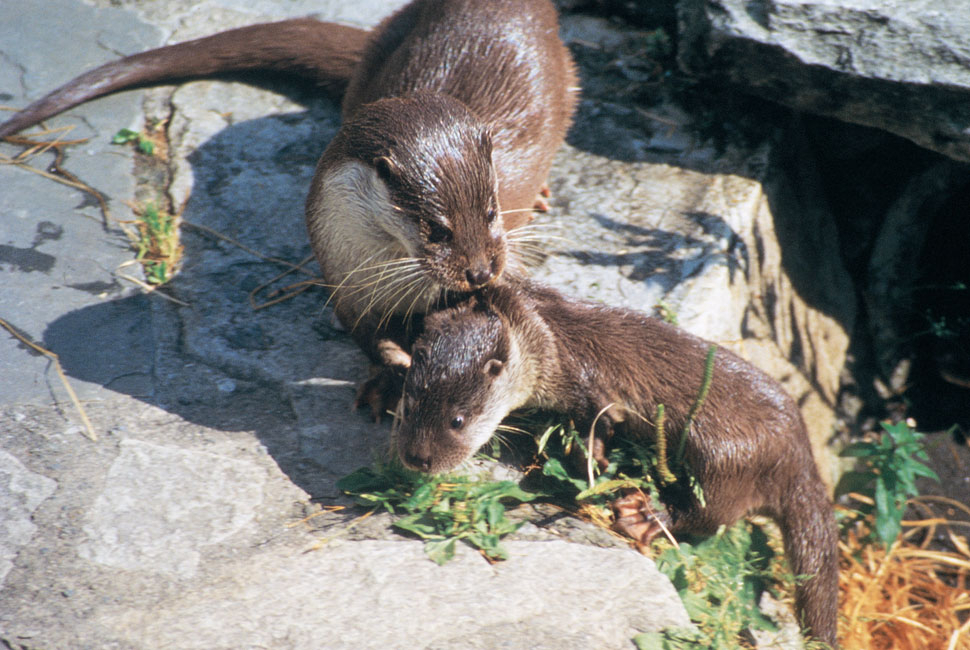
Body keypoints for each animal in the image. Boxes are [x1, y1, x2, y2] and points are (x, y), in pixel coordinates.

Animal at [0, 1, 576, 410]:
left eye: (491, 212)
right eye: (437, 228)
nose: (480, 272)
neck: (383, 273)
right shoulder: (343, 281)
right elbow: (366, 339)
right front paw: (388, 375)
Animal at [398, 276, 836, 644]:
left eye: (457, 420)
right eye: (410, 401)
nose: (417, 457)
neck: (544, 334)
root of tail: (799, 450)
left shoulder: (584, 377)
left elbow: (599, 420)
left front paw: (589, 463)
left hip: (726, 458)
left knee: (710, 516)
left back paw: (642, 516)